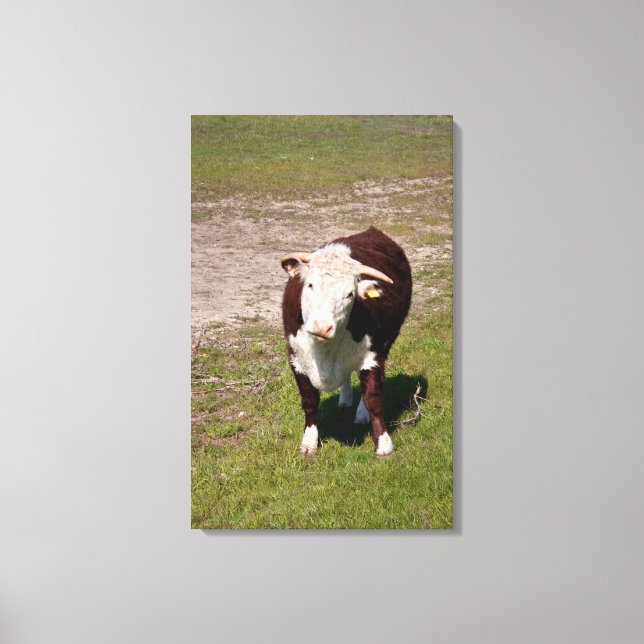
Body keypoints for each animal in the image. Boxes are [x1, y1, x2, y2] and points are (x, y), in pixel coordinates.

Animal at [280, 226, 412, 457]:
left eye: (350, 294)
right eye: (310, 284)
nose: (321, 326)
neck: (324, 352)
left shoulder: (373, 357)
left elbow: (374, 399)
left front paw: (384, 444)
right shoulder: (296, 359)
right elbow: (309, 401)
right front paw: (309, 443)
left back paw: (361, 413)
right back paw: (345, 399)